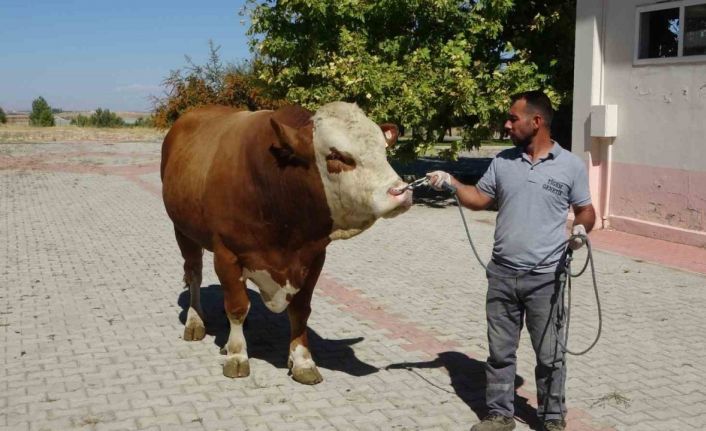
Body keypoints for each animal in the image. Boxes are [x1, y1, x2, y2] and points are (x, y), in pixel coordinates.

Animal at [160, 102, 410, 384]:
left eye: (383, 149)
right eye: (336, 156)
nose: (400, 191)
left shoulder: (313, 257)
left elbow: (300, 310)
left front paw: (302, 361)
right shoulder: (227, 253)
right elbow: (236, 306)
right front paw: (237, 355)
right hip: (183, 231)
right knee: (194, 274)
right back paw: (195, 321)